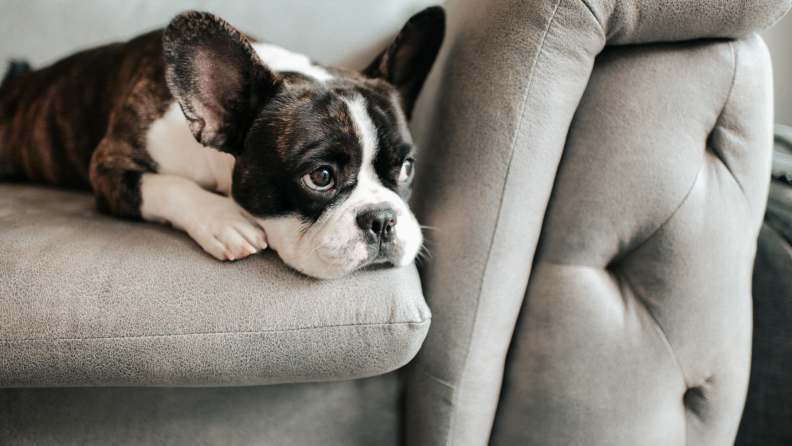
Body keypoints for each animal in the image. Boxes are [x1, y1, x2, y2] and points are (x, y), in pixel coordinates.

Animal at [0, 6, 446, 278]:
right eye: (320, 177)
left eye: (407, 168)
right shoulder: (109, 166)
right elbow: (168, 184)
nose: (382, 218)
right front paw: (223, 220)